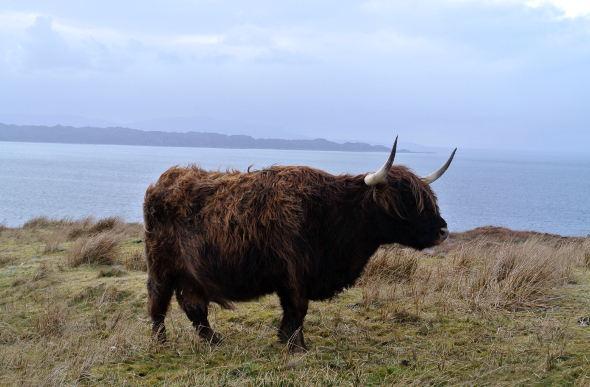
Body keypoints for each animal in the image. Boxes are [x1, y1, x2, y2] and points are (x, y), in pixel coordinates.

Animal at [143, 139, 458, 354]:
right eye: (406, 202)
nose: (442, 230)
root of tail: (165, 179)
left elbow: (293, 313)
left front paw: (286, 341)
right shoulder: (295, 272)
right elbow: (297, 310)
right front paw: (297, 348)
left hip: (190, 272)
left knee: (194, 306)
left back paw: (214, 341)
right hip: (161, 264)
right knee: (158, 301)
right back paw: (160, 342)